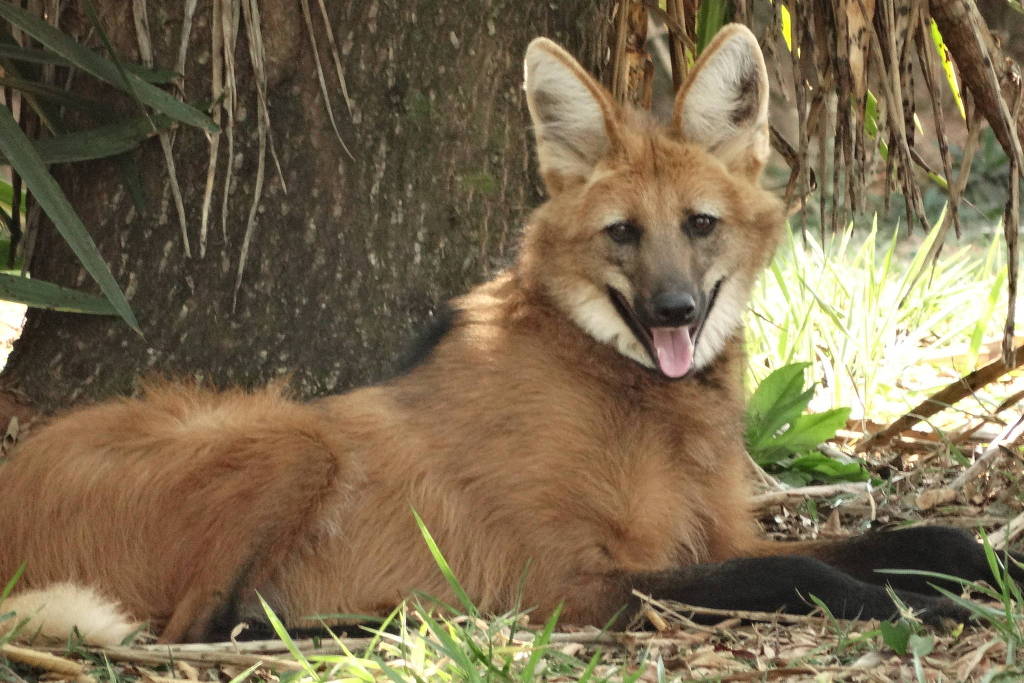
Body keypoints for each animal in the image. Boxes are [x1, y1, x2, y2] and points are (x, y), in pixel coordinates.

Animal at [2, 26, 1024, 647]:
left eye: (699, 225)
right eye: (622, 233)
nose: (672, 311)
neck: (631, 387)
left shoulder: (715, 529)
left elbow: (919, 534)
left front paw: (993, 568)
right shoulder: (577, 573)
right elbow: (796, 574)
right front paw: (919, 606)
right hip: (291, 435)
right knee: (199, 626)